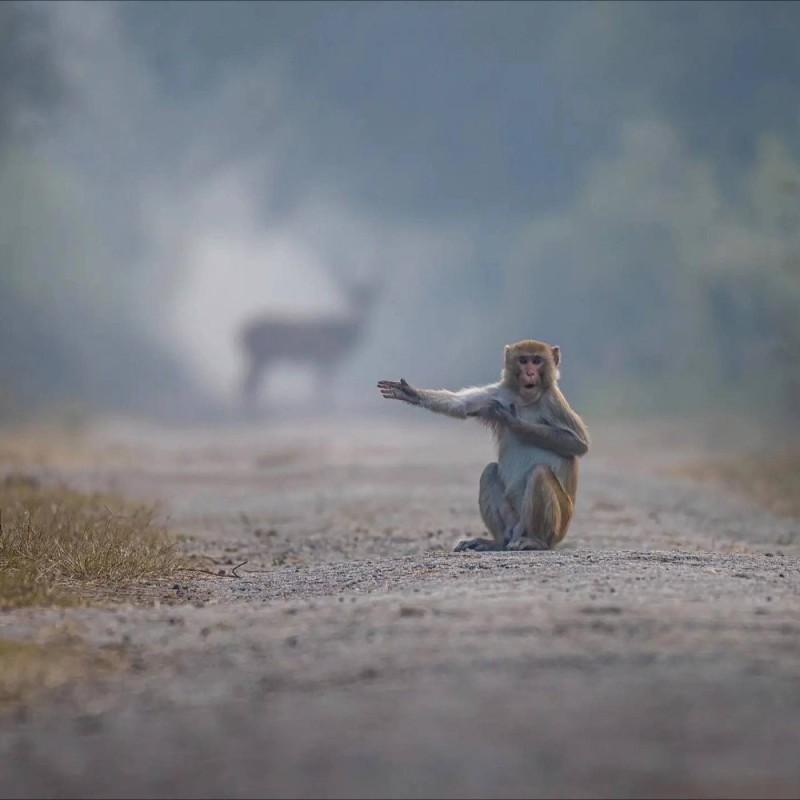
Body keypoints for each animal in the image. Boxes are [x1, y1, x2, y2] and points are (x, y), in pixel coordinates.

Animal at [238, 280, 382, 406]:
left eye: (368, 300)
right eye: (352, 298)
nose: (360, 314)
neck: (342, 335)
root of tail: (240, 333)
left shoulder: (322, 360)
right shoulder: (325, 357)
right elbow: (323, 385)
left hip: (260, 358)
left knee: (250, 384)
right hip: (260, 356)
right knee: (248, 384)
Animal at [376, 340, 588, 552]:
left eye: (536, 361)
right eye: (523, 360)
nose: (529, 373)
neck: (524, 399)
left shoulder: (553, 401)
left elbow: (578, 444)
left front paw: (515, 422)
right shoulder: (497, 394)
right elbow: (461, 405)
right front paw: (411, 393)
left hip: (559, 526)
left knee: (540, 473)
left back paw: (536, 541)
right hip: (513, 521)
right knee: (489, 471)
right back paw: (497, 542)